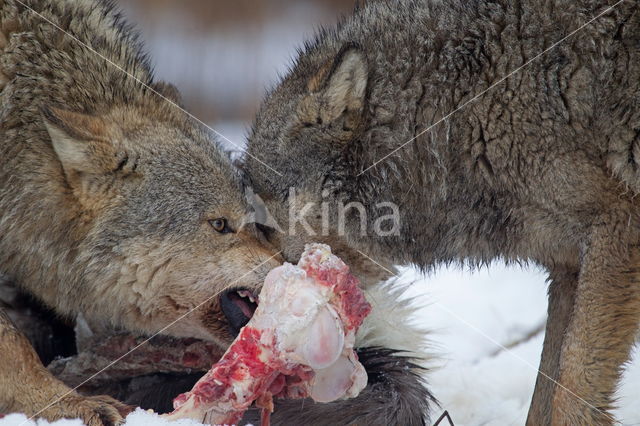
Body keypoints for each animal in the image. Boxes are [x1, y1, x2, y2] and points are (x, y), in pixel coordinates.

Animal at [242, 0, 640, 422]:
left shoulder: (616, 230)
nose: (253, 308)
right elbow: (546, 394)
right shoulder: (567, 269)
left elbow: (571, 389)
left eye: (264, 224)